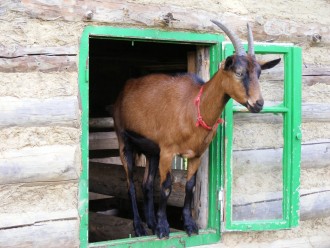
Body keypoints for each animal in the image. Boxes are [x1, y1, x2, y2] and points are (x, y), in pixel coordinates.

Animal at [113, 20, 282, 239]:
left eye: (259, 74)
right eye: (238, 72)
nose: (258, 104)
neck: (194, 107)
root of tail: (124, 91)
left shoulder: (196, 154)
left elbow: (190, 186)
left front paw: (189, 225)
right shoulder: (167, 151)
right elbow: (166, 186)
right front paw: (163, 228)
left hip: (151, 151)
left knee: (147, 184)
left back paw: (149, 223)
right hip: (124, 140)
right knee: (131, 184)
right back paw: (140, 227)